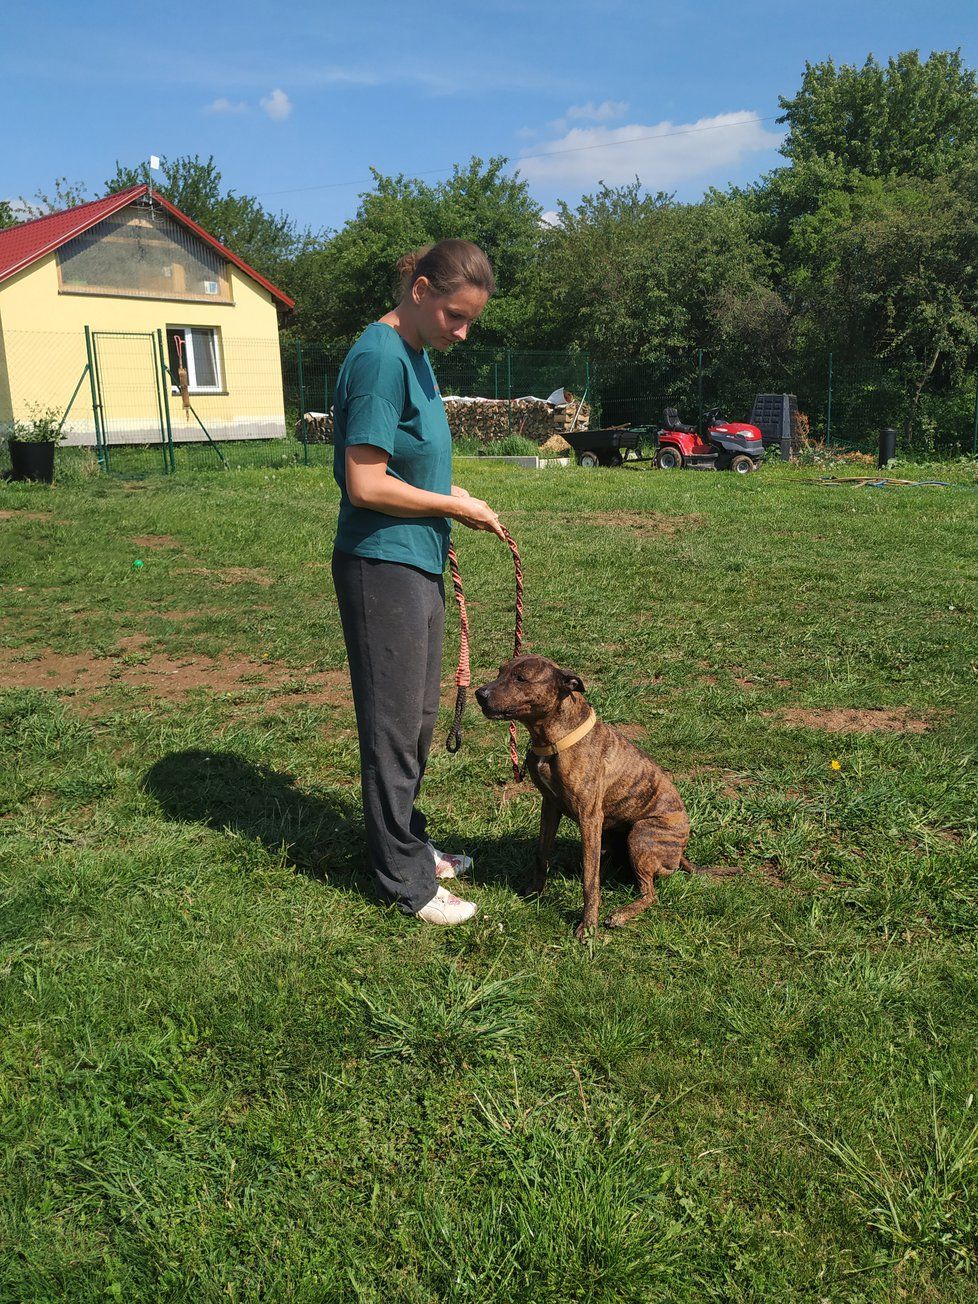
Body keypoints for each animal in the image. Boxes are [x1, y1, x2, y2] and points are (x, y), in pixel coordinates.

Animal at [479, 657, 693, 944]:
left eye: (521, 678)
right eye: (500, 672)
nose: (479, 694)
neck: (553, 739)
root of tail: (680, 855)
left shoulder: (589, 817)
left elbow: (590, 882)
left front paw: (588, 926)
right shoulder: (550, 806)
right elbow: (541, 853)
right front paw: (535, 890)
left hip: (641, 834)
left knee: (650, 894)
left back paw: (620, 914)